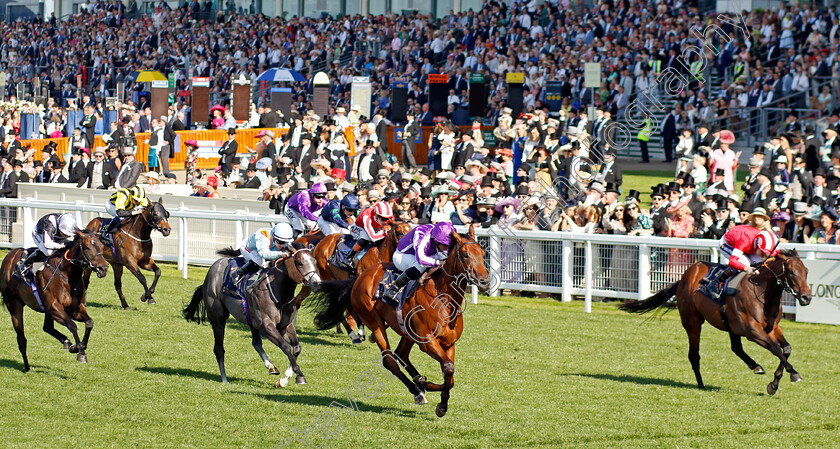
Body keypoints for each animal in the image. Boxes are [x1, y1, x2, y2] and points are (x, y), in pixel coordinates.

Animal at [0, 229, 110, 370]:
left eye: (101, 246)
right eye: (87, 247)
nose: (104, 268)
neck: (68, 275)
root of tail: (9, 257)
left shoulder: (74, 308)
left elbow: (89, 322)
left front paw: (79, 347)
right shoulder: (54, 307)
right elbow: (72, 325)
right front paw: (79, 351)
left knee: (47, 327)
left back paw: (66, 341)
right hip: (14, 305)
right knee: (21, 338)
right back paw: (27, 367)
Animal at [185, 243, 322, 386]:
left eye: (315, 261)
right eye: (300, 263)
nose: (317, 283)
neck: (279, 291)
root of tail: (213, 267)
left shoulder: (285, 326)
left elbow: (297, 347)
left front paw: (286, 378)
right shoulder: (267, 326)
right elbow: (285, 346)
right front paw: (298, 375)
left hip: (251, 319)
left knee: (256, 343)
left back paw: (270, 366)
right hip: (218, 318)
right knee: (219, 349)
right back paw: (224, 379)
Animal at [308, 226, 492, 414]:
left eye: (483, 253)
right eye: (465, 254)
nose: (484, 280)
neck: (444, 300)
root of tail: (361, 277)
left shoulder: (449, 343)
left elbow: (449, 374)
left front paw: (438, 399)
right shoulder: (427, 342)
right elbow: (448, 368)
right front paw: (436, 399)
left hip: (407, 332)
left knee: (400, 354)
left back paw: (419, 384)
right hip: (375, 323)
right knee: (389, 360)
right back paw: (417, 391)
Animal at [620, 248, 812, 396]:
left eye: (807, 271)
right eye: (792, 272)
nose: (807, 297)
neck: (763, 291)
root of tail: (686, 275)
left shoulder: (772, 328)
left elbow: (786, 349)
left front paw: (774, 384)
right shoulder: (752, 330)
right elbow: (775, 349)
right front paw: (794, 374)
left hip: (731, 326)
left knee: (736, 348)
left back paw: (755, 366)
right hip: (693, 322)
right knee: (694, 355)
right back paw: (701, 384)